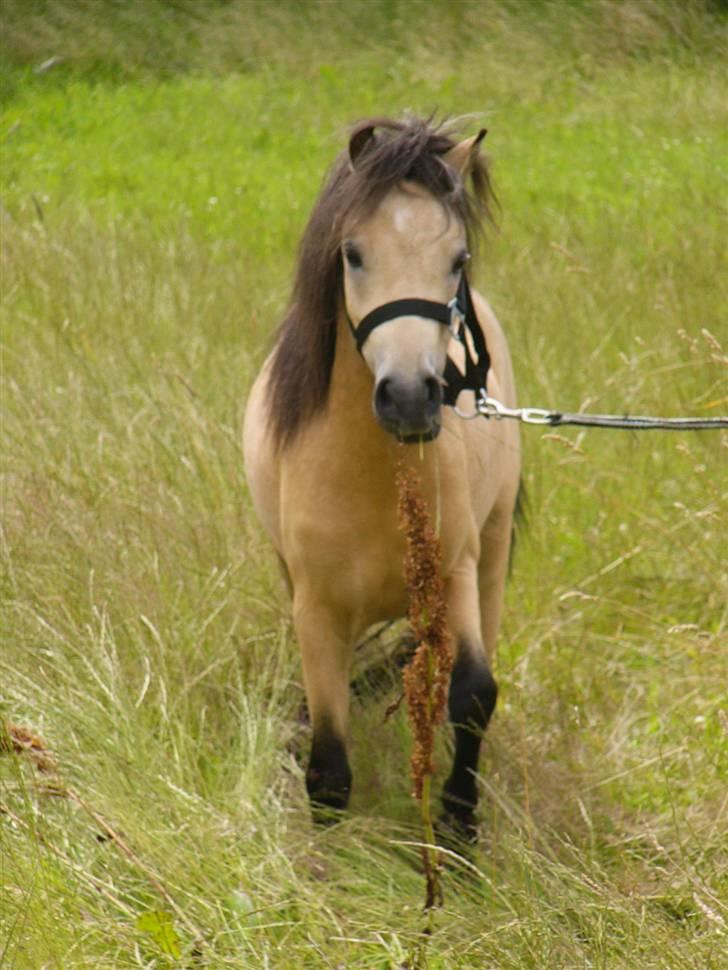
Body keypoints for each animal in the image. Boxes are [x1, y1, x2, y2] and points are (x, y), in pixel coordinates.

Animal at [247, 117, 520, 836]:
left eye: (458, 259)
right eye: (352, 253)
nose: (409, 398)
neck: (368, 474)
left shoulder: (454, 574)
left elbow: (474, 694)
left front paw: (458, 824)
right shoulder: (315, 608)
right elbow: (329, 767)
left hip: (492, 551)